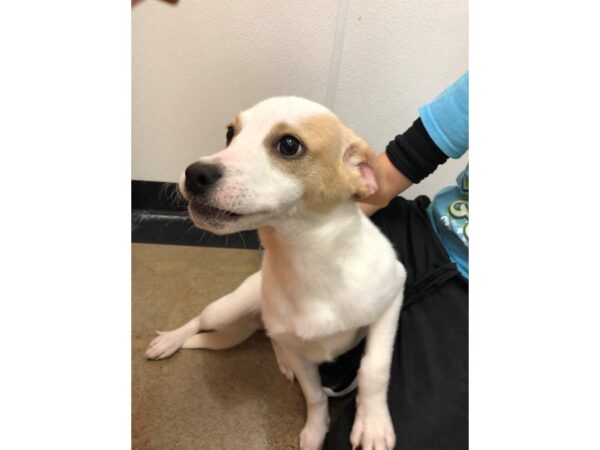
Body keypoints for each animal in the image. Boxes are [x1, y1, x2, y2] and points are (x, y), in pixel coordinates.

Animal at [146, 96, 408, 448]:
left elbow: (374, 368)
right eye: (230, 134)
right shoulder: (302, 355)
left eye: (288, 145)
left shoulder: (392, 298)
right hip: (225, 310)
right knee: (203, 321)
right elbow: (314, 395)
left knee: (270, 337)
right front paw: (316, 431)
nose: (194, 173)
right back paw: (170, 341)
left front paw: (373, 425)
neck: (307, 260)